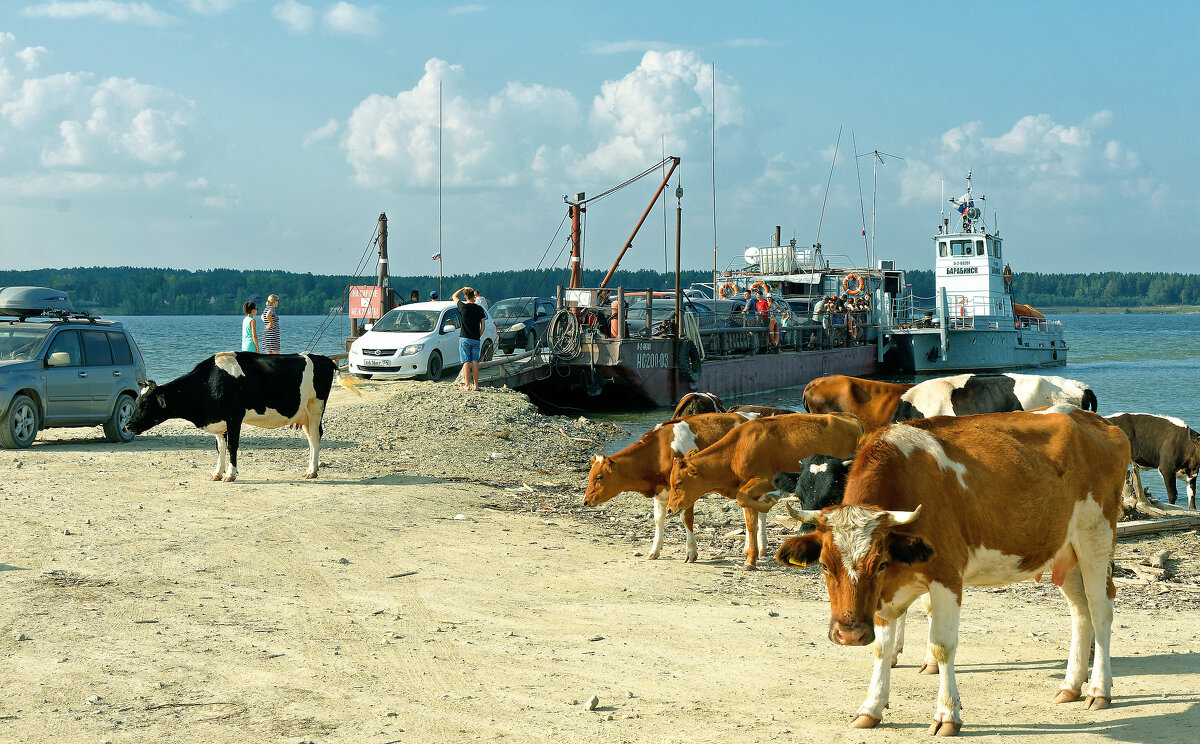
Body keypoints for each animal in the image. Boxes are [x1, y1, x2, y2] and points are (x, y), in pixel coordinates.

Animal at [129, 350, 360, 480]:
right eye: (136, 402)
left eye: (145, 404)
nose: (128, 425)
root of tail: (324, 359)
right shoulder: (219, 420)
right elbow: (220, 448)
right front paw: (217, 473)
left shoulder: (234, 417)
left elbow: (232, 446)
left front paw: (230, 475)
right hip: (304, 413)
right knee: (311, 438)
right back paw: (310, 469)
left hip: (316, 407)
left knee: (316, 436)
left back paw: (312, 470)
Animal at [588, 410, 748, 561]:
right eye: (590, 476)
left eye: (599, 477)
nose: (585, 501)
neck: (658, 452)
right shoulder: (660, 492)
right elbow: (658, 519)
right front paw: (654, 550)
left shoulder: (687, 490)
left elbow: (686, 519)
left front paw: (691, 552)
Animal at [667, 412, 864, 568]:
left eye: (678, 483)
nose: (669, 509)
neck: (737, 449)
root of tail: (848, 416)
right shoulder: (748, 488)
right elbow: (750, 522)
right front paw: (751, 559)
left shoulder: (765, 480)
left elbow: (743, 500)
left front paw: (768, 503)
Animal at [772, 410, 1128, 734]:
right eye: (824, 565)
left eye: (881, 563)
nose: (849, 634)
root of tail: (1094, 420)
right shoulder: (883, 595)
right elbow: (881, 648)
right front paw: (870, 708)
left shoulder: (945, 575)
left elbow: (941, 646)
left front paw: (946, 715)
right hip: (1064, 551)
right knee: (1080, 611)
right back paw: (1070, 686)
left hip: (1095, 537)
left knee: (1100, 609)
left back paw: (1099, 689)